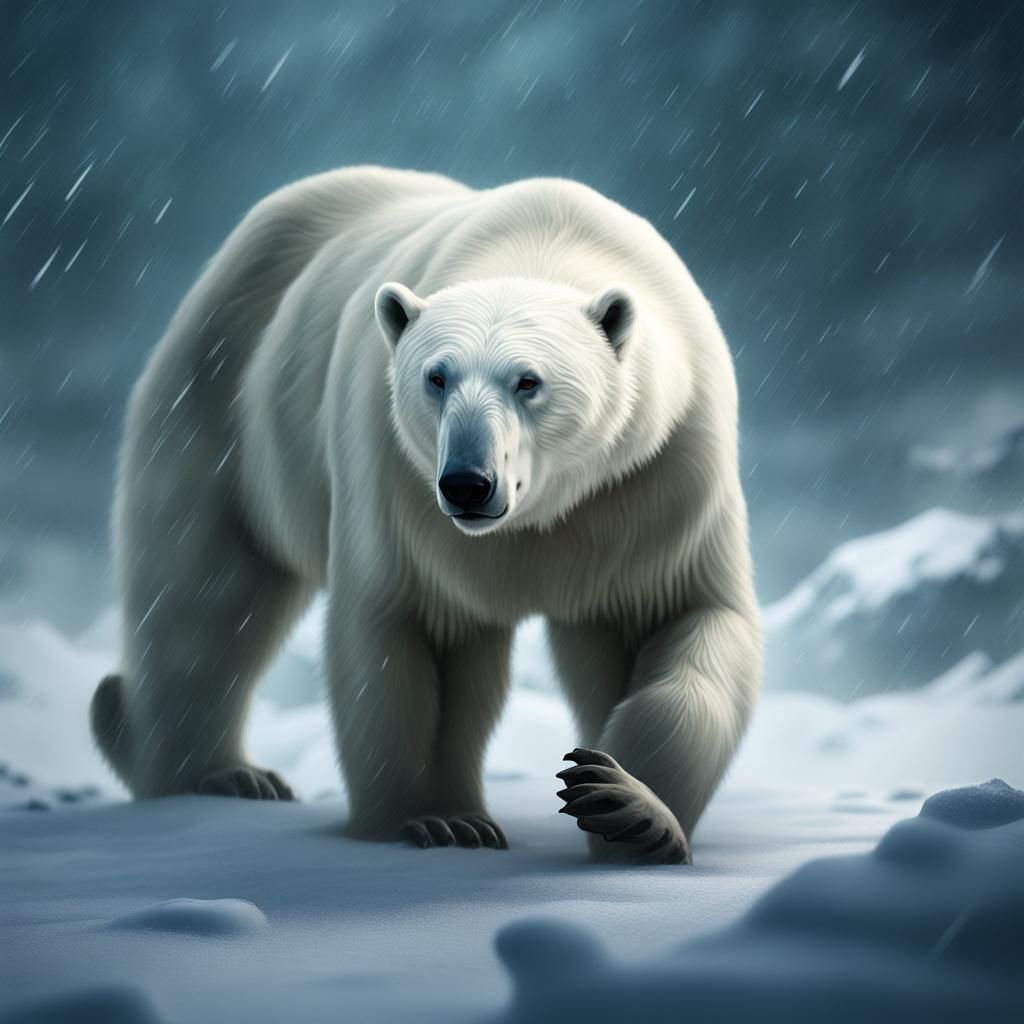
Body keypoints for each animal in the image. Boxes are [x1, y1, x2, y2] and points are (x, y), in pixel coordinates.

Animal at [90, 166, 762, 865]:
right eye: (436, 377)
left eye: (529, 381)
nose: (467, 485)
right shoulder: (399, 490)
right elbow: (410, 636)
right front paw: (438, 820)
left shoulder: (652, 484)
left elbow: (680, 622)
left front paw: (627, 808)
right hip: (222, 412)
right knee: (205, 598)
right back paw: (216, 774)